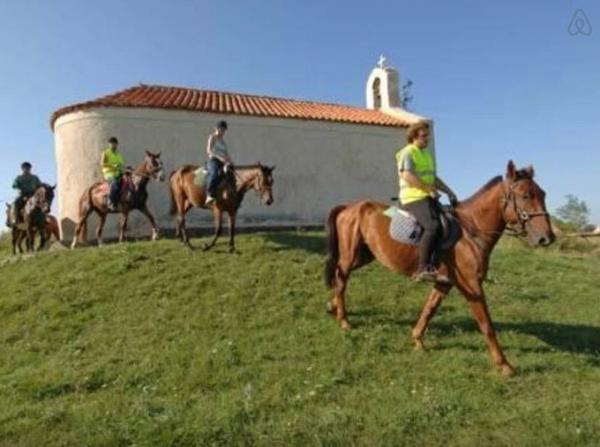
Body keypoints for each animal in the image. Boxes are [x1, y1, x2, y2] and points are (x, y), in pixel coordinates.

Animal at [324, 161, 555, 376]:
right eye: (525, 195)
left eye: (543, 194)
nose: (547, 238)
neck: (471, 231)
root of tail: (348, 207)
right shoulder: (471, 285)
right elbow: (486, 325)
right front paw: (504, 365)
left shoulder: (444, 282)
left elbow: (429, 309)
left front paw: (418, 341)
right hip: (350, 255)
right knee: (341, 278)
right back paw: (343, 320)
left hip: (364, 256)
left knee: (338, 276)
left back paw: (332, 306)